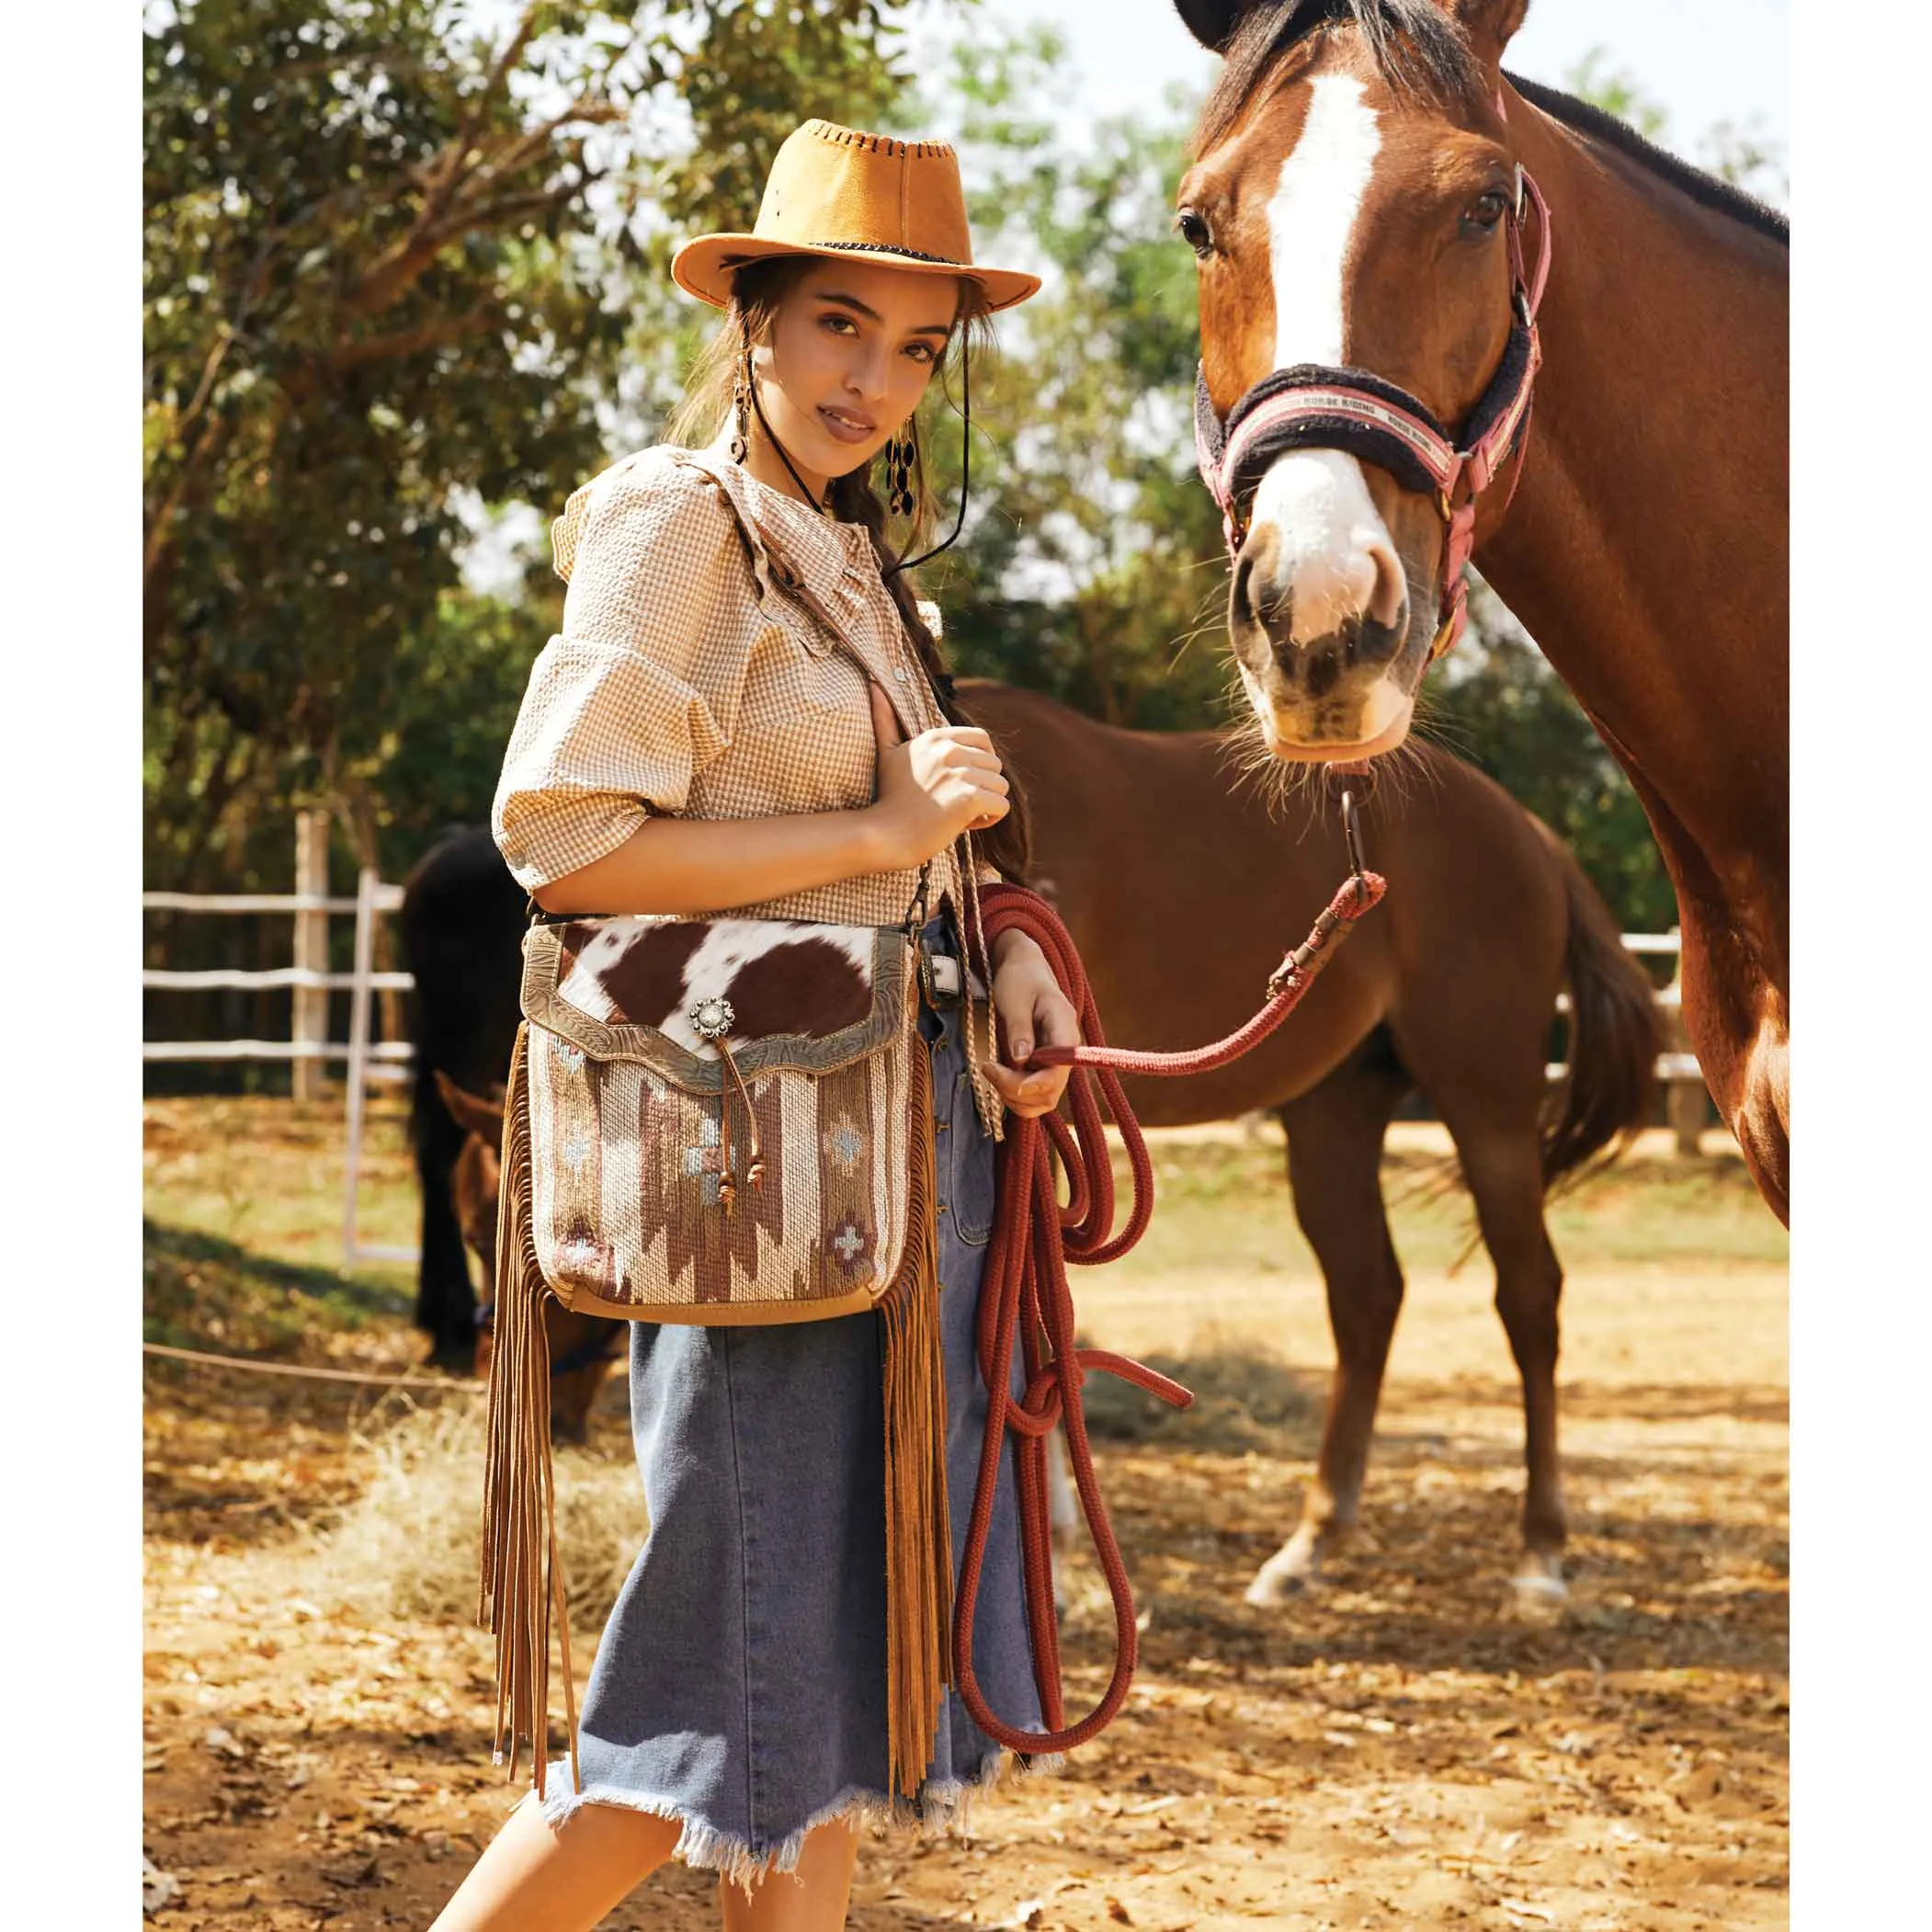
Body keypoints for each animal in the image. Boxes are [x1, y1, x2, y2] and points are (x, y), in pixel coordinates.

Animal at [958, 688, 1654, 1607]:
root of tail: (1529, 834)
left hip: (1489, 1107)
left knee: (1528, 1300)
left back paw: (1539, 1555)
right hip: (1333, 1117)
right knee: (1368, 1301)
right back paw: (1309, 1544)